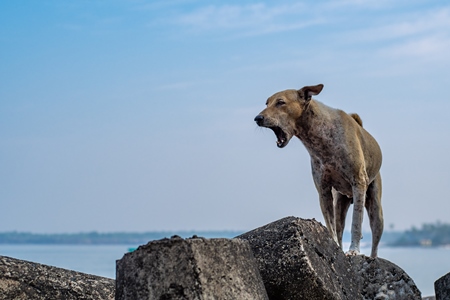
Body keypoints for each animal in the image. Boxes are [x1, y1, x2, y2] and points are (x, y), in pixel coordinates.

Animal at [253, 84, 384, 258]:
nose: (257, 118)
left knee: (375, 238)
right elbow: (331, 226)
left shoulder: (358, 183)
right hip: (339, 203)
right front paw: (334, 247)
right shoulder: (323, 191)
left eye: (280, 102)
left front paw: (354, 250)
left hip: (375, 207)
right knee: (339, 227)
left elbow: (356, 222)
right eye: (267, 103)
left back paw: (372, 257)